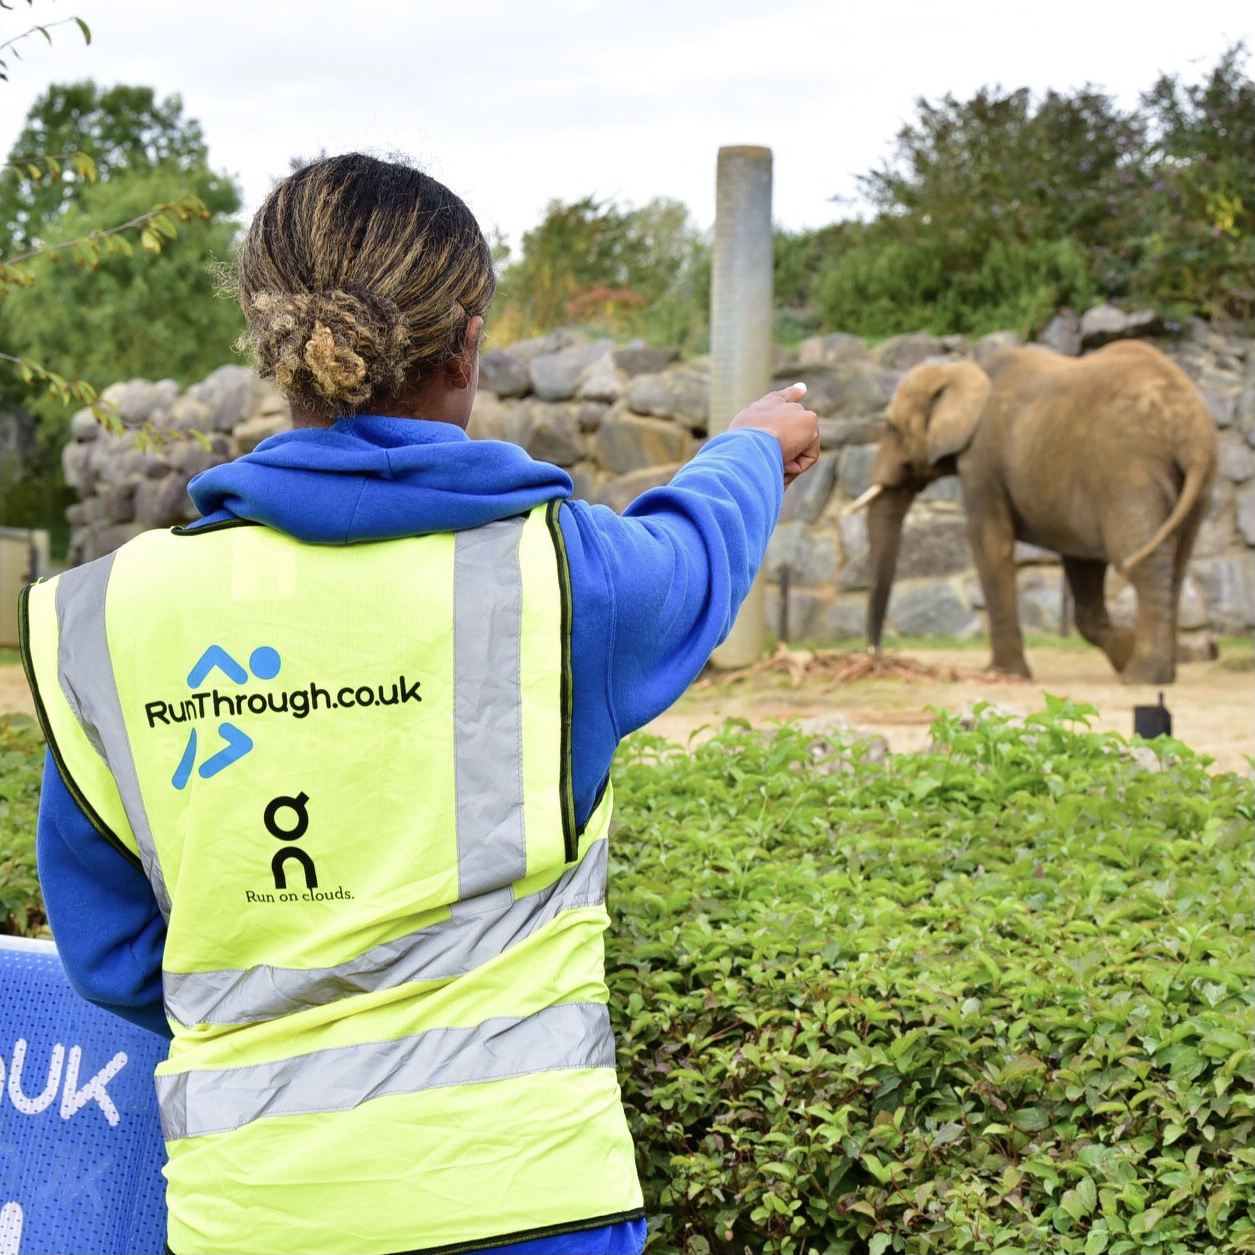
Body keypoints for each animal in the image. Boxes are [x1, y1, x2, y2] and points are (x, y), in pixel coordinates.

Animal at [848, 338, 1219, 682]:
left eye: (893, 428)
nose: (876, 658)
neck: (962, 370)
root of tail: (1193, 431)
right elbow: (1082, 563)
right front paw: (1123, 648)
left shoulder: (982, 460)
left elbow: (990, 544)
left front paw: (1003, 673)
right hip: (1194, 484)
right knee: (1175, 565)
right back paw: (1160, 672)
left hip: (1130, 470)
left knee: (1143, 562)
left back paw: (1141, 677)